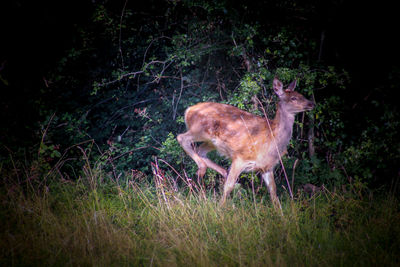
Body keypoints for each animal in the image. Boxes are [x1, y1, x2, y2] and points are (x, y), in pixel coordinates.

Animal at [177, 77, 314, 209]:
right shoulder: (240, 157)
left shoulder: (266, 167)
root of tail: (188, 110)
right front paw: (219, 210)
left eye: (301, 94)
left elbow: (273, 192)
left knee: (200, 150)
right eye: (293, 98)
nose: (311, 103)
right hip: (200, 129)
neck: (272, 140)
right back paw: (202, 168)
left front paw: (281, 214)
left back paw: (221, 171)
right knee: (181, 138)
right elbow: (228, 187)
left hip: (211, 142)